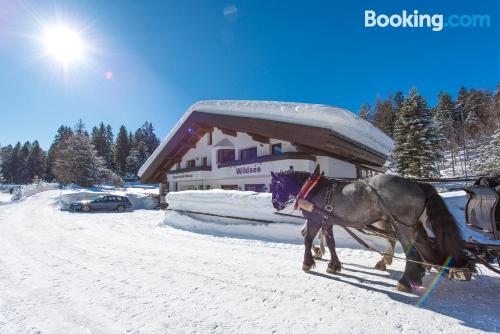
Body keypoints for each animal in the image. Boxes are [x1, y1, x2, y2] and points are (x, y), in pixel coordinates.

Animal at [270, 167, 468, 292]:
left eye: (275, 186)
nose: (275, 204)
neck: (313, 188)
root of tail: (417, 184)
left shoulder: (314, 219)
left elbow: (307, 239)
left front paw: (308, 262)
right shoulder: (327, 221)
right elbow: (331, 243)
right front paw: (333, 265)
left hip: (401, 225)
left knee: (409, 250)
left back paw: (405, 281)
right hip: (411, 225)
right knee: (420, 245)